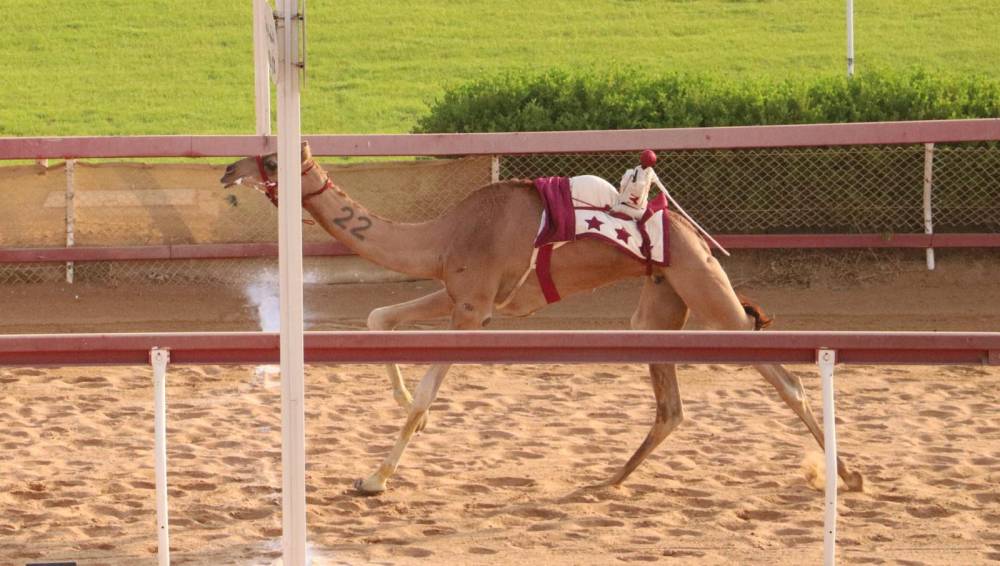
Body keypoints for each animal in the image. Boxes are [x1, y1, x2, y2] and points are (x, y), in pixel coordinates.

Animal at [219, 142, 864, 495]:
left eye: (272, 156)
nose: (227, 171)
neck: (443, 235)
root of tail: (692, 233)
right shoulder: (461, 296)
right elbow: (379, 317)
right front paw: (405, 419)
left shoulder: (471, 310)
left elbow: (426, 390)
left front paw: (374, 479)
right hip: (660, 303)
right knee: (671, 407)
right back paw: (608, 481)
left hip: (706, 292)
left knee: (785, 378)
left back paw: (848, 476)